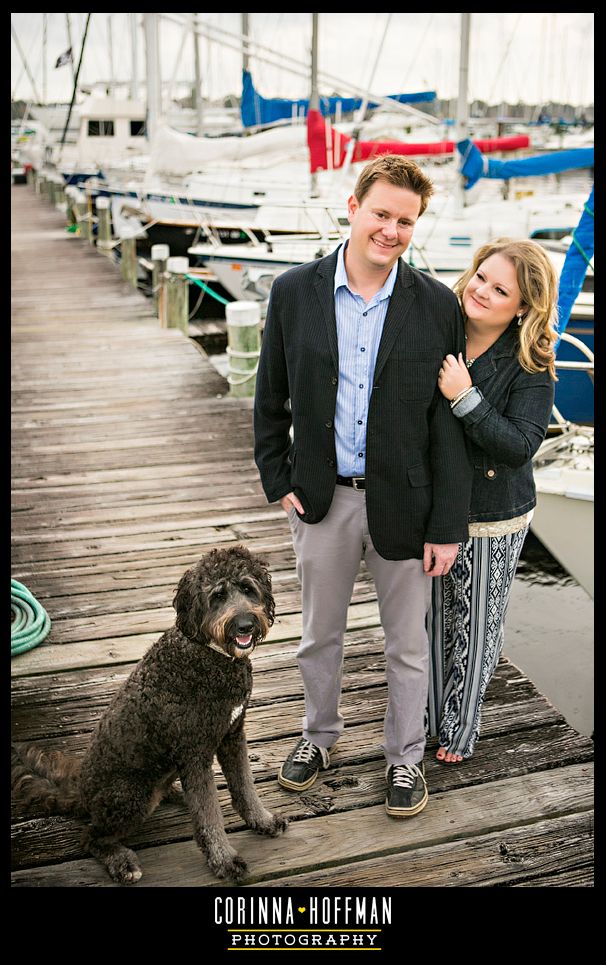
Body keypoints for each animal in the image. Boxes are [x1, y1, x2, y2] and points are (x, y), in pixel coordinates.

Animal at [12, 548, 290, 884]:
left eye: (248, 589)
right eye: (217, 596)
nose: (245, 625)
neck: (212, 656)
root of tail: (82, 793)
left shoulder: (232, 735)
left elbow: (245, 787)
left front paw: (262, 820)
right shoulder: (194, 754)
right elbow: (209, 815)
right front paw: (224, 860)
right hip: (131, 795)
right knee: (90, 837)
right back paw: (121, 861)